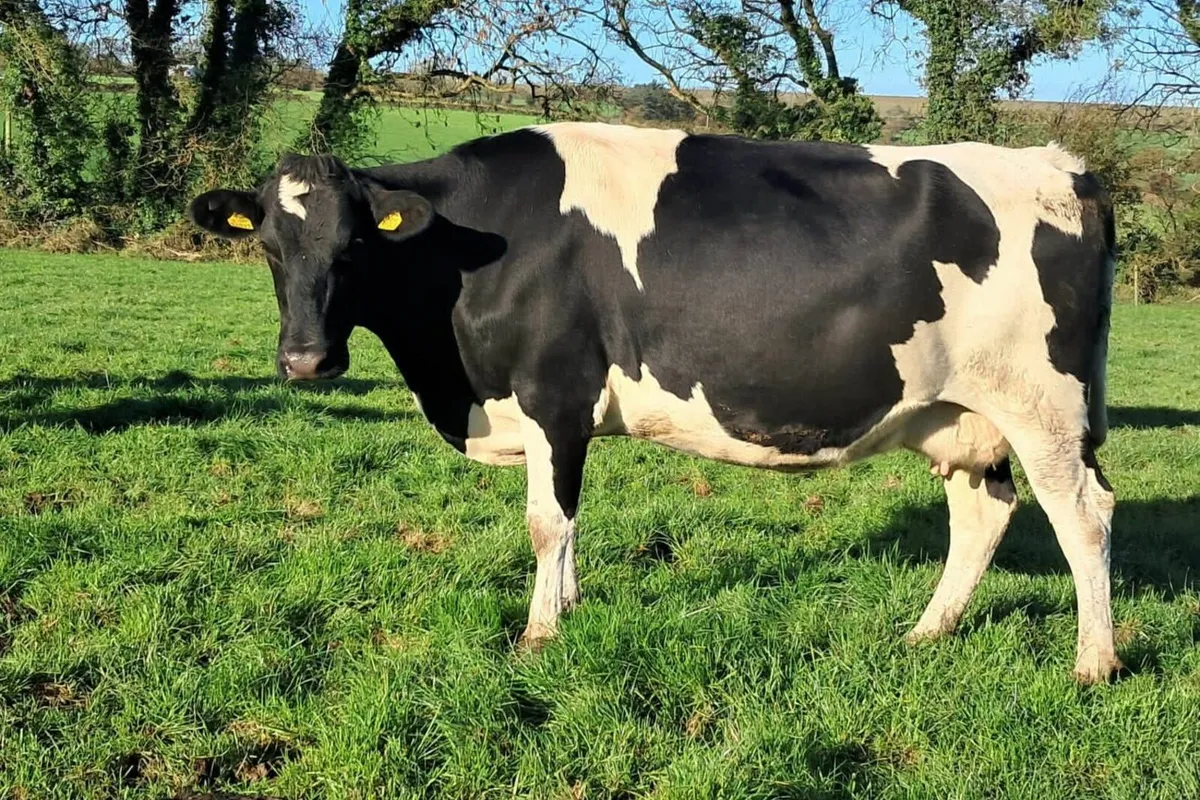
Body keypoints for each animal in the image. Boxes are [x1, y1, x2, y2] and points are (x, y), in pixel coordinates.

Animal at [188, 122, 1119, 683]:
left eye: (354, 245)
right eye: (269, 245)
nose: (306, 360)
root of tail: (1058, 164)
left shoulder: (554, 392)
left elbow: (547, 521)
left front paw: (539, 635)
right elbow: (566, 522)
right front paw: (567, 609)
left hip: (1048, 409)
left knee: (1084, 516)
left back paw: (1095, 662)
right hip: (961, 414)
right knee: (984, 513)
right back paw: (928, 632)